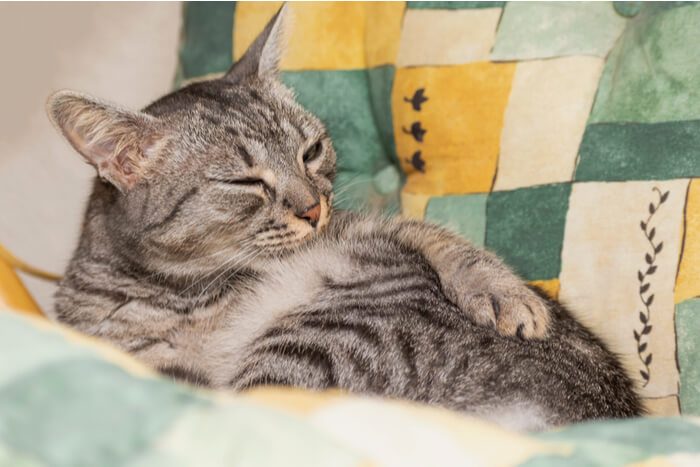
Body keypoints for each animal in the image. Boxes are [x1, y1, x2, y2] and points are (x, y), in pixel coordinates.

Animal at [46, 6, 644, 432]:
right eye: (244, 183)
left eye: (310, 152)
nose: (313, 208)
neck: (176, 290)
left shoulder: (365, 228)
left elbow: (439, 238)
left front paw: (501, 292)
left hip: (313, 339)